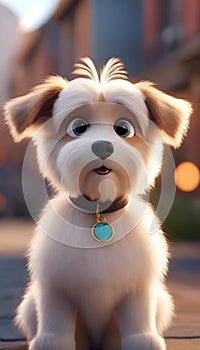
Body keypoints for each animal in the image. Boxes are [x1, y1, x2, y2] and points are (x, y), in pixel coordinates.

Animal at [4, 58, 192, 348]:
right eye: (78, 128)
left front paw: (143, 340)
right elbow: (55, 316)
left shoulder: (139, 286)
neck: (99, 212)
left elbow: (137, 315)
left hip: (160, 303)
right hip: (29, 305)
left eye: (123, 129)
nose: (103, 146)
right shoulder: (55, 287)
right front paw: (51, 340)